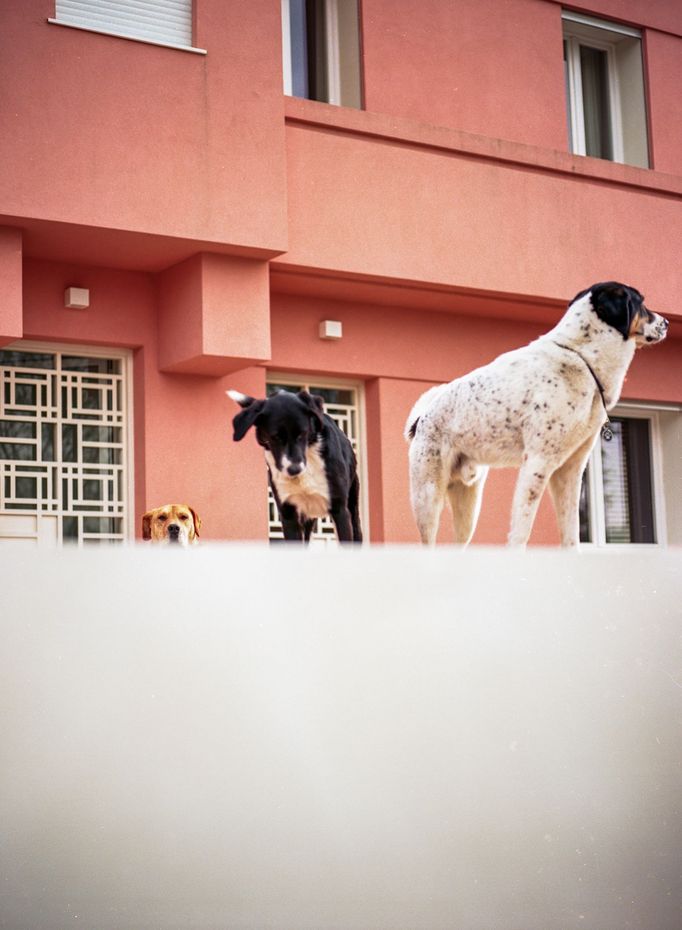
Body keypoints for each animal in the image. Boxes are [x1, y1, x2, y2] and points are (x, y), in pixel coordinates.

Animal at [227, 386, 362, 544]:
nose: (294, 469)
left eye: (302, 433)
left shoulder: (340, 510)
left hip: (352, 510)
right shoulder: (288, 513)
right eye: (275, 437)